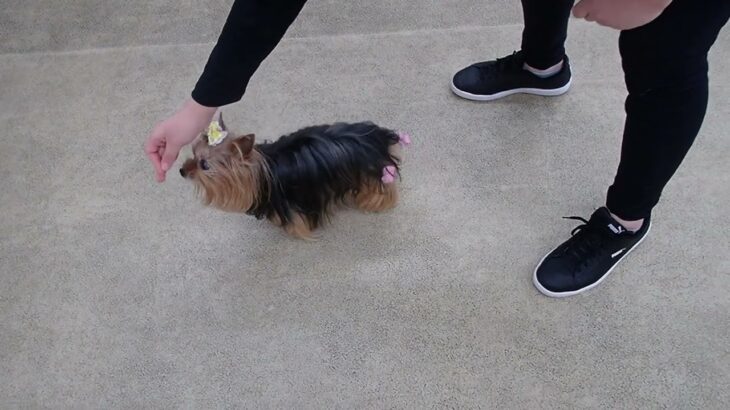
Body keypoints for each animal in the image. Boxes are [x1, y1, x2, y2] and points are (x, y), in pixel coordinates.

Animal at [181, 113, 410, 239]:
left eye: (204, 165)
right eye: (193, 153)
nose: (182, 170)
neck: (262, 173)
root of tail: (381, 135)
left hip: (373, 173)